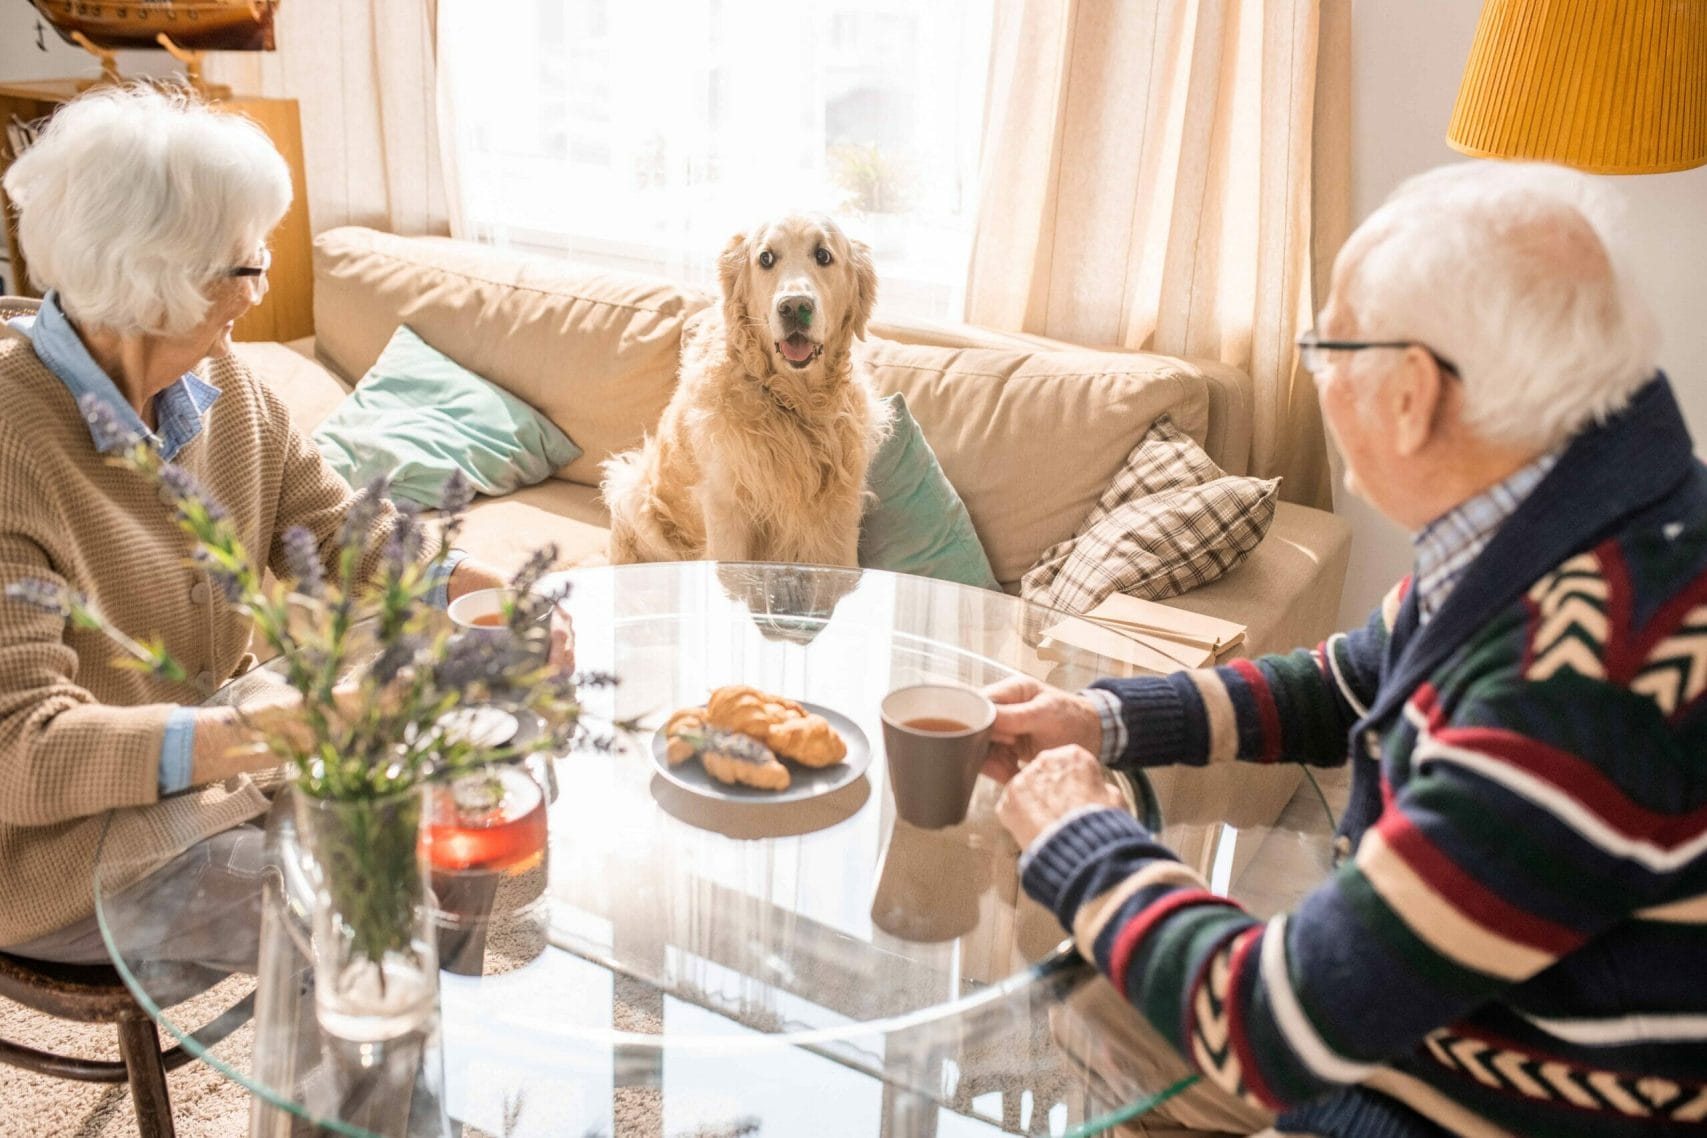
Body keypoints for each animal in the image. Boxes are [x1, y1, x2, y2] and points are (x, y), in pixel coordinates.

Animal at [604, 211, 894, 566]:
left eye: (823, 255)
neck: (792, 401)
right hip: (632, 495)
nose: (794, 306)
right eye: (765, 258)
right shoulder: (727, 509)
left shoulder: (841, 513)